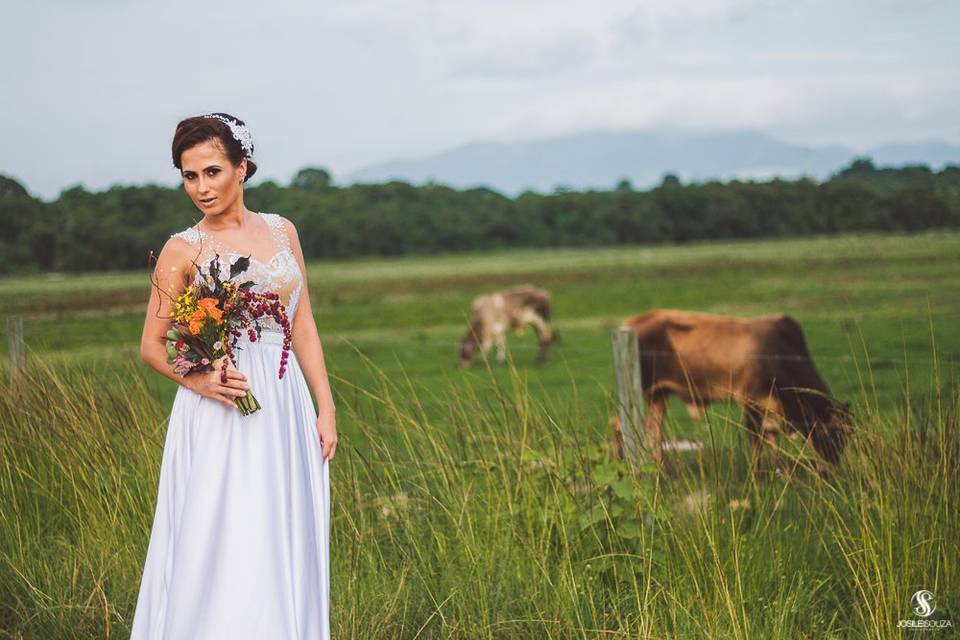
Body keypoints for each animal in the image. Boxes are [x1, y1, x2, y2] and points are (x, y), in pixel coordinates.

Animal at [620, 308, 852, 478]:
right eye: (828, 433)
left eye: (846, 437)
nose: (828, 470)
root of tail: (634, 321)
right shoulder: (750, 404)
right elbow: (757, 447)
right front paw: (758, 478)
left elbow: (772, 446)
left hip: (658, 395)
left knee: (652, 429)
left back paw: (659, 469)